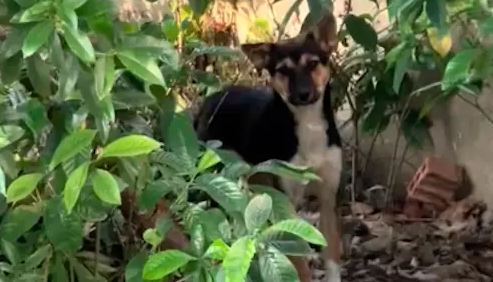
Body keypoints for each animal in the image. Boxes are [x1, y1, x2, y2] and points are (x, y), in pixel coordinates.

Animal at [193, 11, 342, 282]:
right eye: (282, 70)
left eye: (313, 64)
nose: (303, 94)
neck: (308, 127)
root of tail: (210, 99)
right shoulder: (287, 203)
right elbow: (300, 266)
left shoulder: (328, 198)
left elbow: (333, 255)